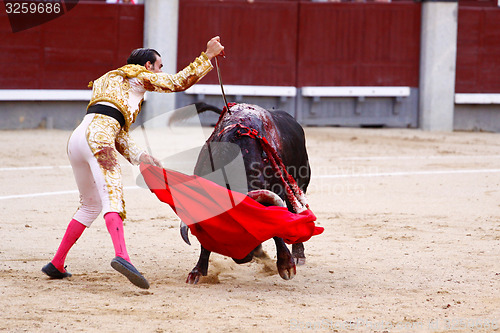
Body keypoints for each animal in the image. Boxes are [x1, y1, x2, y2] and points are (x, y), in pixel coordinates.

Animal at [182, 102, 310, 284]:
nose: (242, 258)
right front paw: (197, 271)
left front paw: (286, 265)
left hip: (300, 180)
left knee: (294, 210)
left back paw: (298, 255)